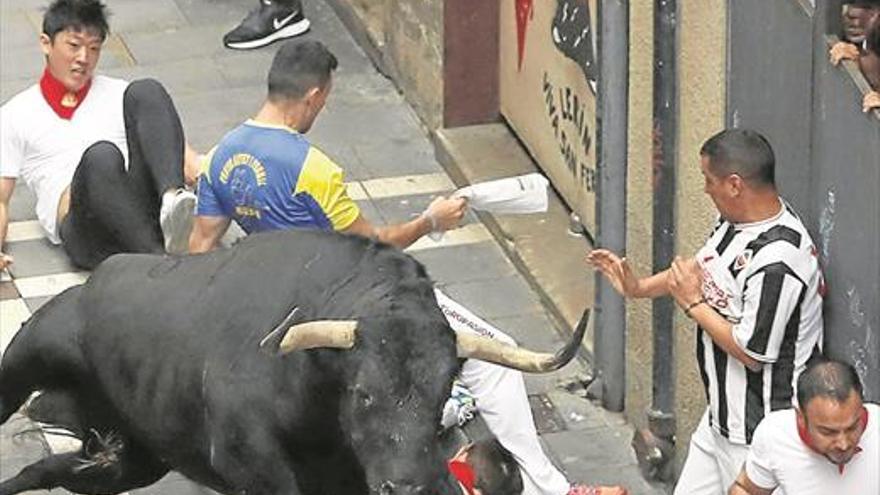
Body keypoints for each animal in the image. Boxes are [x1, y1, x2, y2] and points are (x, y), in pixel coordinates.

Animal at [1, 231, 592, 495]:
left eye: (443, 391)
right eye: (363, 392)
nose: (403, 486)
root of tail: (97, 277)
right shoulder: (248, 461)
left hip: (128, 459)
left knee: (49, 470)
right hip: (26, 357)